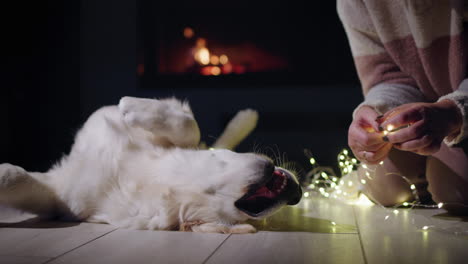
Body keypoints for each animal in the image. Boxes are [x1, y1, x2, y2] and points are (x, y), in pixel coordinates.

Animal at [0, 96, 302, 233]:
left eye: (233, 218)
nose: (297, 196)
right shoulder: (65, 193)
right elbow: (11, 175)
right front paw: (134, 106)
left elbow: (189, 127)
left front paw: (132, 106)